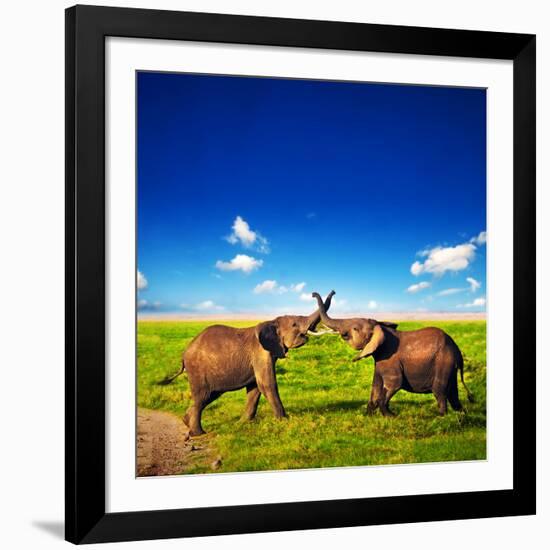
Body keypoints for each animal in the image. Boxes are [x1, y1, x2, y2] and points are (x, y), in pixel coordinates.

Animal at [160, 292, 336, 438]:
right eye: (294, 324)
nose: (313, 293)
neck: (272, 322)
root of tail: (184, 353)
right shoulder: (260, 353)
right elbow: (267, 384)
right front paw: (284, 421)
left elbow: (255, 388)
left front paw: (243, 423)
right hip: (197, 369)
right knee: (202, 396)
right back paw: (198, 433)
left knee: (209, 396)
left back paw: (186, 421)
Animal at [312, 292, 476, 416]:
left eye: (355, 329)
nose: (313, 294)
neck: (380, 328)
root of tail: (457, 350)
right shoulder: (380, 361)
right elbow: (375, 386)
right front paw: (368, 415)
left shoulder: (390, 360)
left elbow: (394, 384)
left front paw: (390, 416)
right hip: (450, 366)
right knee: (453, 393)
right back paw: (461, 414)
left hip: (443, 362)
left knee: (440, 391)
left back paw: (440, 417)